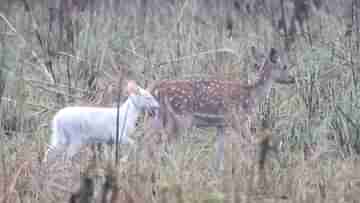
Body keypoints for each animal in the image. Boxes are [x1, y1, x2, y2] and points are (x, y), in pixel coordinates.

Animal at [146, 47, 296, 170]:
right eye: (284, 66)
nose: (293, 79)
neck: (251, 96)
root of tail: (155, 90)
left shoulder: (222, 124)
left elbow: (220, 149)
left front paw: (217, 171)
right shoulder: (239, 120)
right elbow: (250, 143)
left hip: (157, 118)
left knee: (150, 143)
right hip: (179, 118)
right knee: (163, 145)